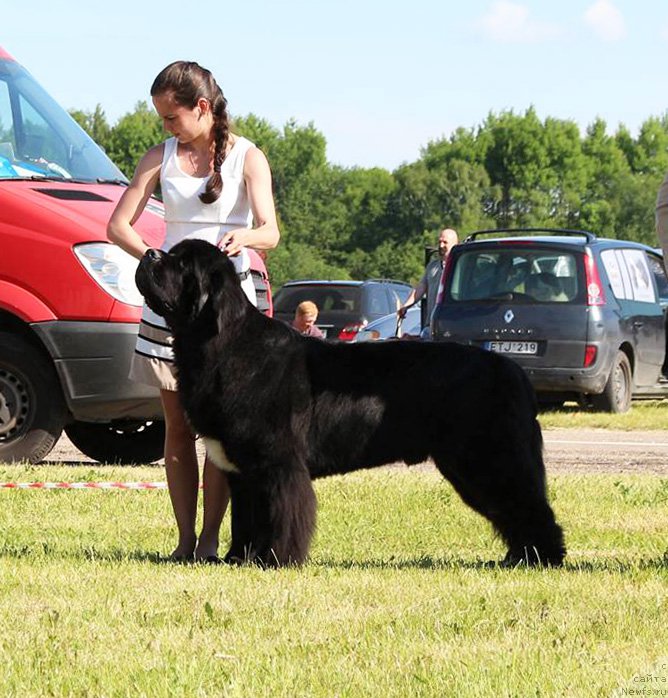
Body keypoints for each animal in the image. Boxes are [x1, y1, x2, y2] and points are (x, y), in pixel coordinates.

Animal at [136, 239, 564, 564]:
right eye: (172, 254)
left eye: (181, 264)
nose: (150, 252)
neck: (221, 345)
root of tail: (512, 369)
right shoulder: (241, 470)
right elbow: (245, 518)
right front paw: (239, 559)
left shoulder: (277, 464)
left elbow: (281, 514)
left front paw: (275, 558)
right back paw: (518, 557)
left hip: (487, 459)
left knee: (527, 504)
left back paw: (541, 558)